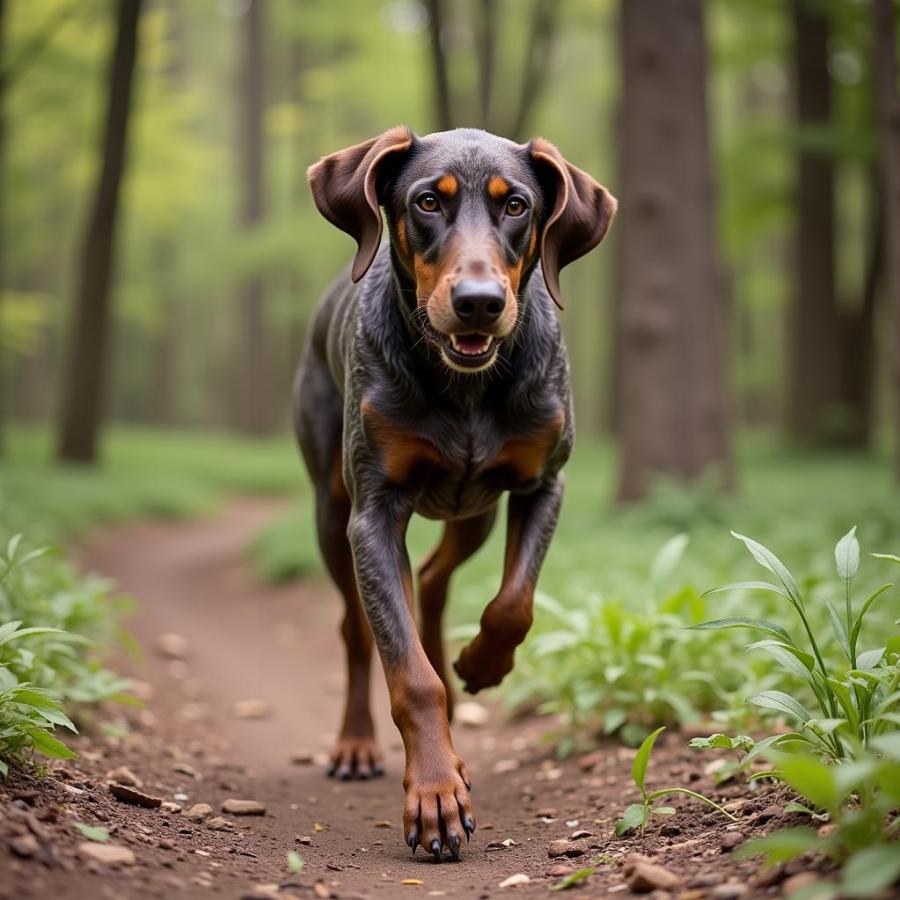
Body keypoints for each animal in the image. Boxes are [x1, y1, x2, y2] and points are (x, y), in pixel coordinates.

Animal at [296, 123, 620, 860]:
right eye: (427, 201)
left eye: (517, 205)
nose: (479, 302)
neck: (466, 387)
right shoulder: (374, 512)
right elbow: (410, 676)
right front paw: (436, 795)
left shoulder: (542, 483)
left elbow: (513, 604)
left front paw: (482, 663)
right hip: (331, 507)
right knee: (358, 627)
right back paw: (358, 743)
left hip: (474, 509)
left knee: (434, 578)